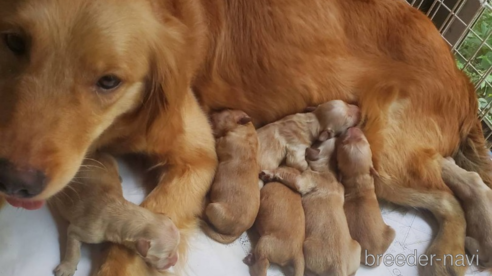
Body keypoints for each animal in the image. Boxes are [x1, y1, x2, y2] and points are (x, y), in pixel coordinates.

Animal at [49, 153, 180, 276]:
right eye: (167, 256)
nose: (175, 262)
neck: (122, 211)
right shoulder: (80, 231)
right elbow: (74, 252)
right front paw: (67, 267)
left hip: (111, 160)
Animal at [201, 110, 262, 244]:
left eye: (223, 112)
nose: (211, 113)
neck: (246, 130)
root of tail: (238, 233)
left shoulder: (223, 142)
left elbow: (217, 139)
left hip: (213, 208)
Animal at [262, 138, 362, 276]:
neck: (328, 168)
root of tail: (338, 267)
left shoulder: (303, 179)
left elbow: (286, 174)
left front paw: (270, 172)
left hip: (307, 248)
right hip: (357, 248)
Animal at [338, 127, 396, 266]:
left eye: (362, 140)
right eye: (343, 142)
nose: (352, 128)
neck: (357, 180)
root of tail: (372, 255)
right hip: (391, 232)